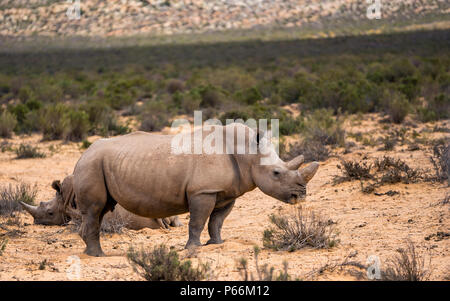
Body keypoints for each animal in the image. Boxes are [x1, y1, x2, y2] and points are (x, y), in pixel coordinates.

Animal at [69, 122, 316, 255]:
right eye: (276, 173)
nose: (301, 195)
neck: (247, 152)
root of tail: (83, 153)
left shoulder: (225, 193)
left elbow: (217, 221)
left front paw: (216, 244)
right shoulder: (202, 191)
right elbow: (197, 221)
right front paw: (193, 248)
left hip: (99, 163)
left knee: (101, 210)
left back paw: (90, 252)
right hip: (91, 164)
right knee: (95, 210)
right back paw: (98, 255)